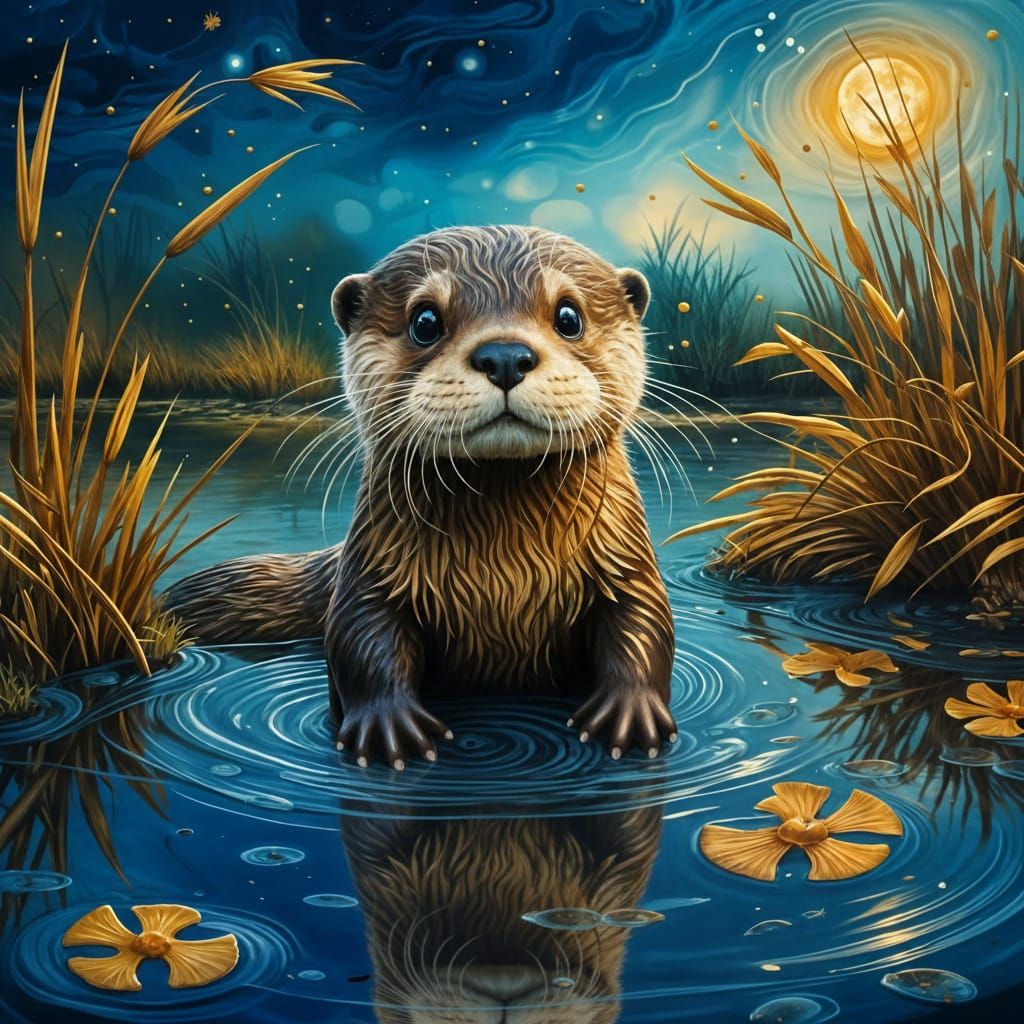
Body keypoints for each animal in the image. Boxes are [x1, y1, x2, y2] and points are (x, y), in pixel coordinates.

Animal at [165, 225, 677, 768]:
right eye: (425, 321)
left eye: (569, 317)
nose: (504, 356)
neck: (503, 571)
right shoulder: (369, 569)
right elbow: (360, 635)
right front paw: (387, 725)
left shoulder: (624, 559)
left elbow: (644, 622)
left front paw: (631, 713)